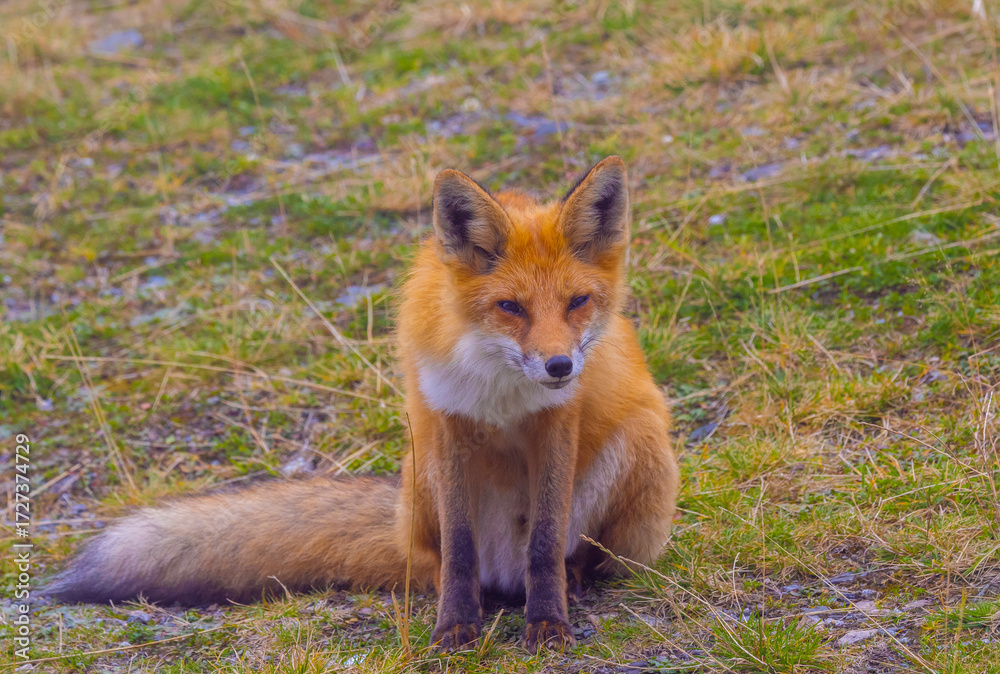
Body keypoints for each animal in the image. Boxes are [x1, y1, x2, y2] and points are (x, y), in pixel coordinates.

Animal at [49, 156, 679, 653]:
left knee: (581, 555)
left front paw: (548, 624)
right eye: (511, 307)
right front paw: (455, 628)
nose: (560, 367)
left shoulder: (555, 423)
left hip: (641, 445)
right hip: (420, 474)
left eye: (577, 302)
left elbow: (546, 541)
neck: (501, 388)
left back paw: (571, 581)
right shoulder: (445, 421)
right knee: (442, 563)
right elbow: (460, 550)